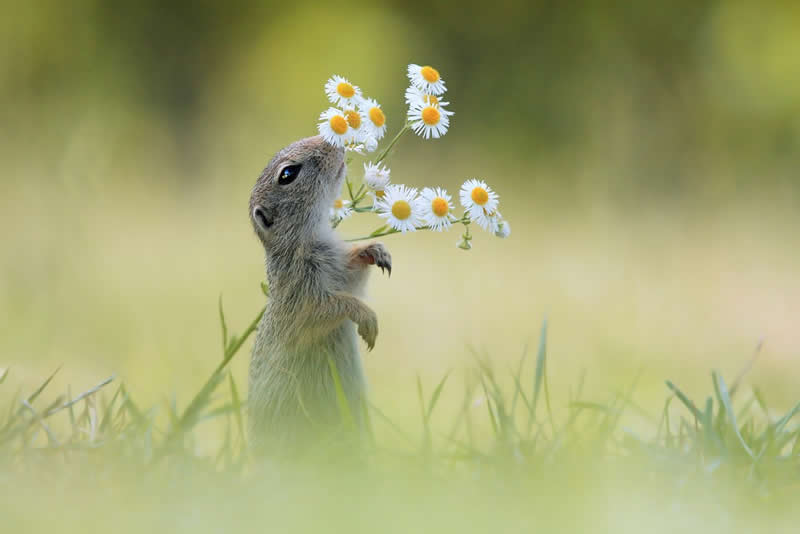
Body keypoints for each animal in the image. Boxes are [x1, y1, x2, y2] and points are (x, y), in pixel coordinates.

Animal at [247, 135, 391, 455]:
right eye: (287, 174)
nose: (332, 140)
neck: (311, 237)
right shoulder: (302, 293)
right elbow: (328, 308)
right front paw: (367, 317)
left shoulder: (342, 269)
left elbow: (354, 273)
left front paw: (375, 251)